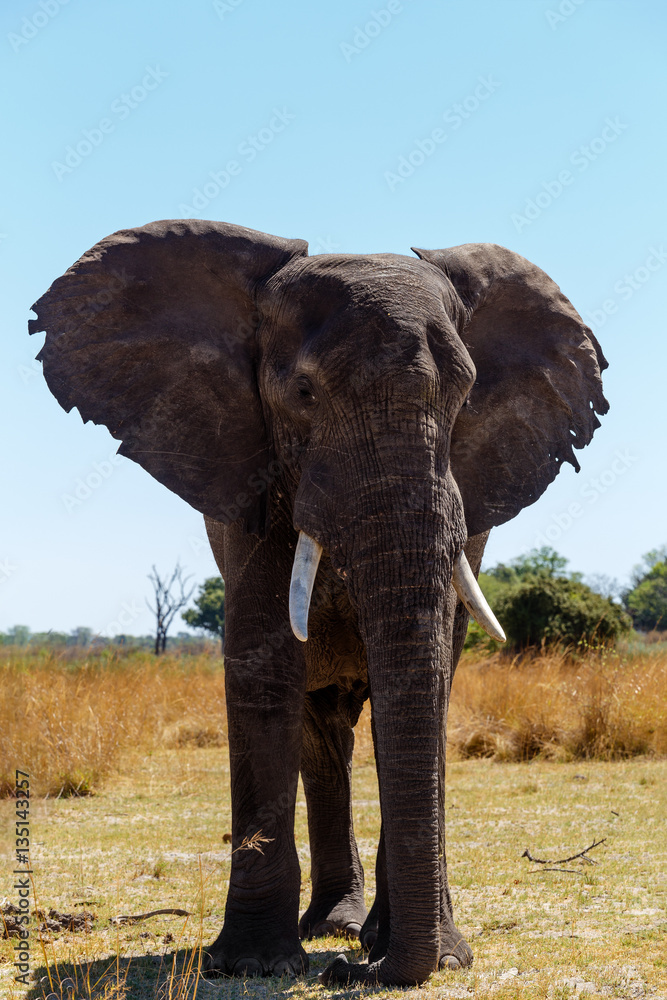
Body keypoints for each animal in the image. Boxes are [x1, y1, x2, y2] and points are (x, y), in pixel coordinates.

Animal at [29, 219, 608, 986]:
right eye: (302, 392)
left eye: (465, 398)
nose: (352, 971)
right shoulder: (245, 481)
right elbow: (265, 665)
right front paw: (251, 963)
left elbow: (432, 674)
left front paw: (434, 956)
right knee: (319, 727)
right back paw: (331, 927)